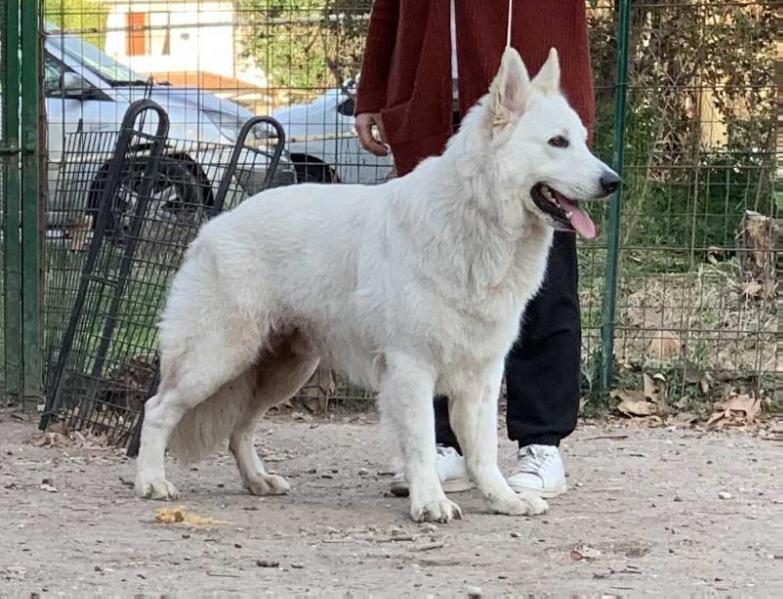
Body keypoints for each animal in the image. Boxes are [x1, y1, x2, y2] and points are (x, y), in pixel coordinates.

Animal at [138, 47, 620, 524]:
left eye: (582, 140)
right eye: (557, 143)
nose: (613, 182)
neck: (474, 218)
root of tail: (211, 228)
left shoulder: (482, 374)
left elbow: (483, 450)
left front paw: (503, 498)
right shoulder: (412, 367)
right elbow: (423, 442)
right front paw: (430, 502)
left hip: (284, 369)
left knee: (241, 426)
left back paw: (257, 480)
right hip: (217, 358)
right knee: (157, 410)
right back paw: (152, 481)